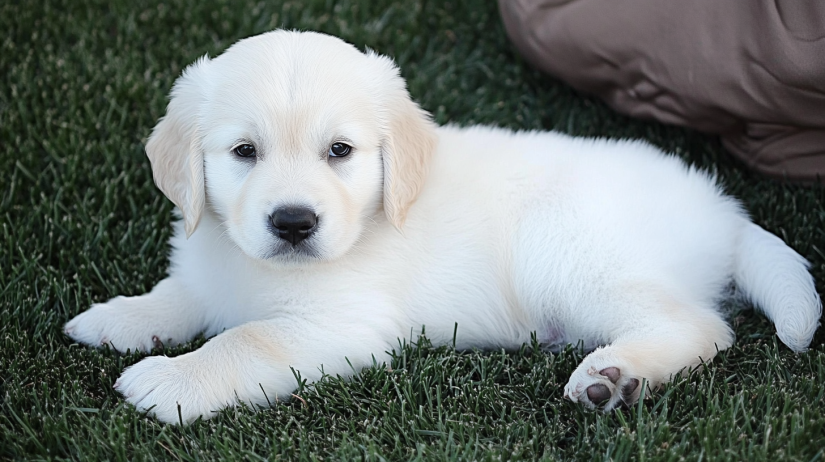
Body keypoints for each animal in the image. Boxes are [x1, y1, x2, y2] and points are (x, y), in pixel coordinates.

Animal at [62, 30, 816, 424]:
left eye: (340, 151)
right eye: (243, 152)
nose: (293, 223)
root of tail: (723, 211)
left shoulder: (343, 326)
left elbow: (246, 339)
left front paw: (170, 383)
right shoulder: (208, 264)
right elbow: (179, 295)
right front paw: (119, 319)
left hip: (570, 254)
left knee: (701, 327)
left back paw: (614, 374)